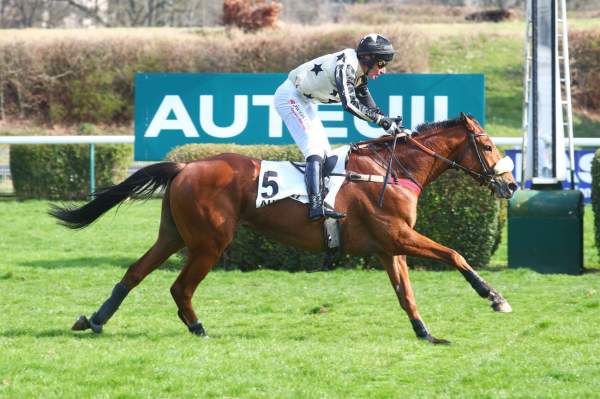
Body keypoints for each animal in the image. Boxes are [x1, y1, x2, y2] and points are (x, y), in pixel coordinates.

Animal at [51, 112, 516, 344]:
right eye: (487, 146)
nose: (510, 184)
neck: (391, 168)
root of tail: (185, 166)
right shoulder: (399, 236)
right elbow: (455, 254)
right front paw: (494, 297)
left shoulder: (390, 246)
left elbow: (406, 294)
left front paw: (427, 334)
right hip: (209, 242)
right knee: (179, 287)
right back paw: (198, 328)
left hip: (174, 235)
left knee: (134, 272)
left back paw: (95, 320)